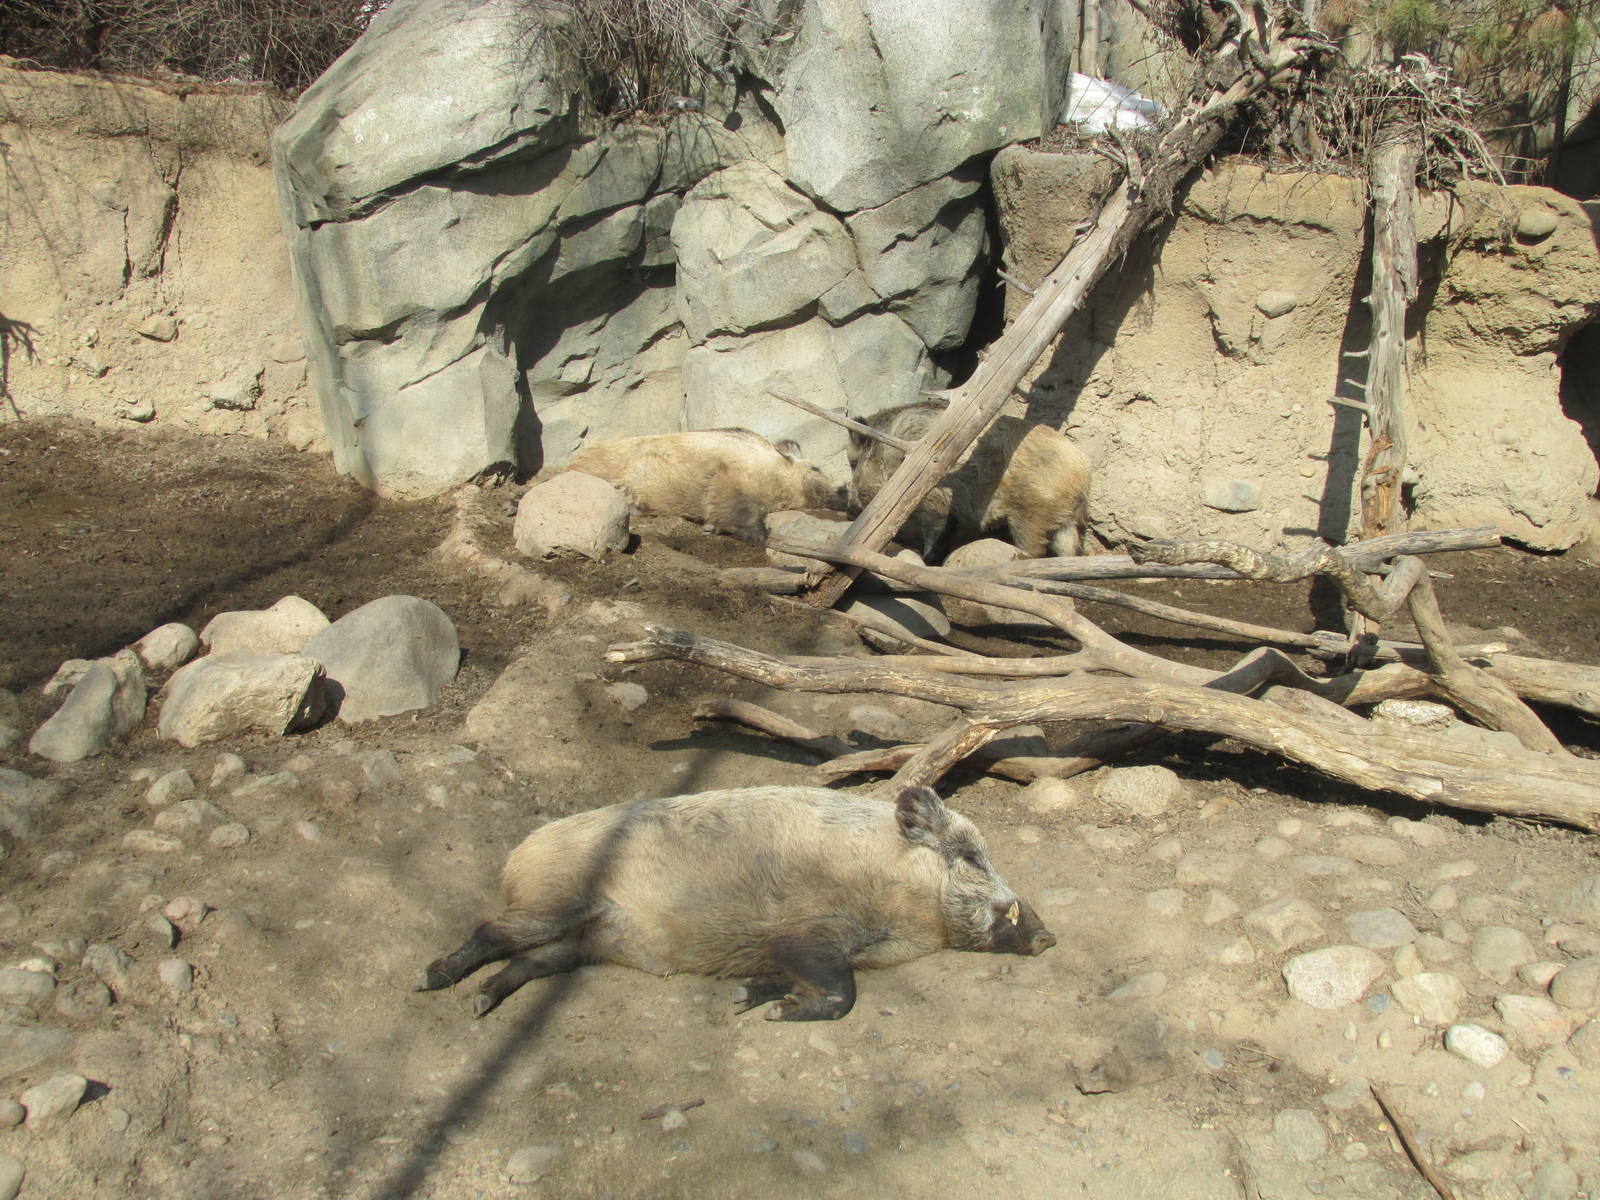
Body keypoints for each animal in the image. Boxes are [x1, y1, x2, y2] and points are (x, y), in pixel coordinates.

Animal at [417, 784, 1055, 1021]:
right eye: (969, 856)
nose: (1048, 935)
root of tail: (515, 856)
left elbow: (797, 980)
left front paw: (749, 999)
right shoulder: (807, 930)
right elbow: (841, 992)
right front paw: (773, 1012)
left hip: (584, 943)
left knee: (530, 963)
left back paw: (480, 1004)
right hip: (553, 902)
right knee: (491, 930)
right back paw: (432, 981)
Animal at [847, 402, 1091, 560]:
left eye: (853, 463)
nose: (850, 511)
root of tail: (1083, 471)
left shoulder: (936, 502)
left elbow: (935, 532)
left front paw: (927, 560)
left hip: (1032, 513)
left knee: (1035, 549)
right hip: (1065, 518)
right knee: (1071, 550)